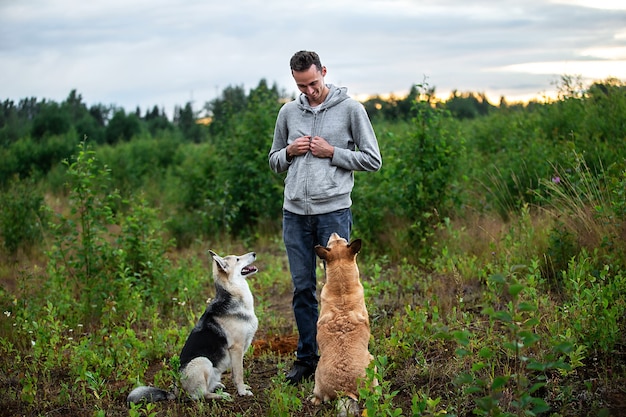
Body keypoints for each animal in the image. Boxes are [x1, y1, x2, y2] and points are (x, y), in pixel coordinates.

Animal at [127, 249, 258, 402]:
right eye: (237, 259)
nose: (254, 253)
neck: (232, 294)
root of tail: (175, 390)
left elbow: (236, 373)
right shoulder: (236, 349)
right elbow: (238, 374)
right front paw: (242, 391)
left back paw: (218, 387)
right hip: (203, 361)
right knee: (201, 395)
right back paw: (220, 396)